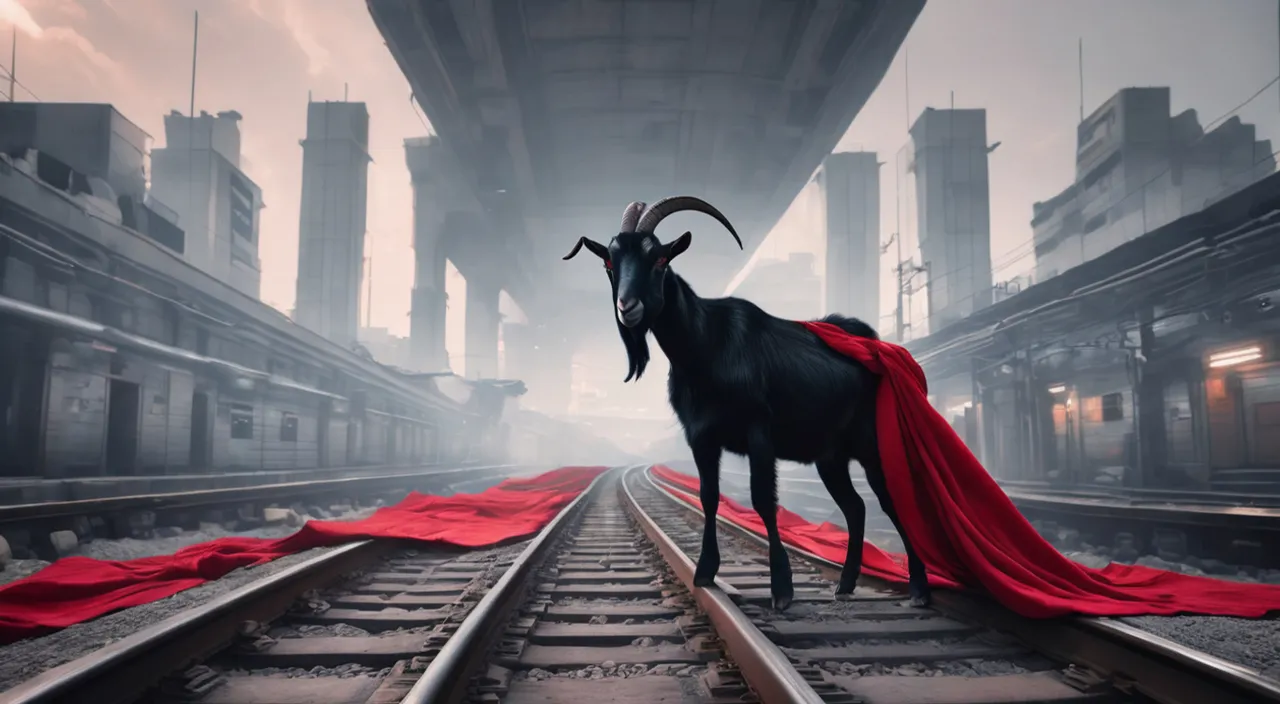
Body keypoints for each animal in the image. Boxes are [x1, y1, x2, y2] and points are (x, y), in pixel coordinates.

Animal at [565, 197, 936, 611]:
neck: (705, 345)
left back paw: (919, 589)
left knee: (891, 500)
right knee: (855, 507)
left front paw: (782, 589)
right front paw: (705, 573)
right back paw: (845, 584)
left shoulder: (758, 432)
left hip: (871, 442)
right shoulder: (701, 438)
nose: (627, 307)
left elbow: (762, 500)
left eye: (659, 258)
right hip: (830, 456)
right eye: (609, 262)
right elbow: (708, 497)